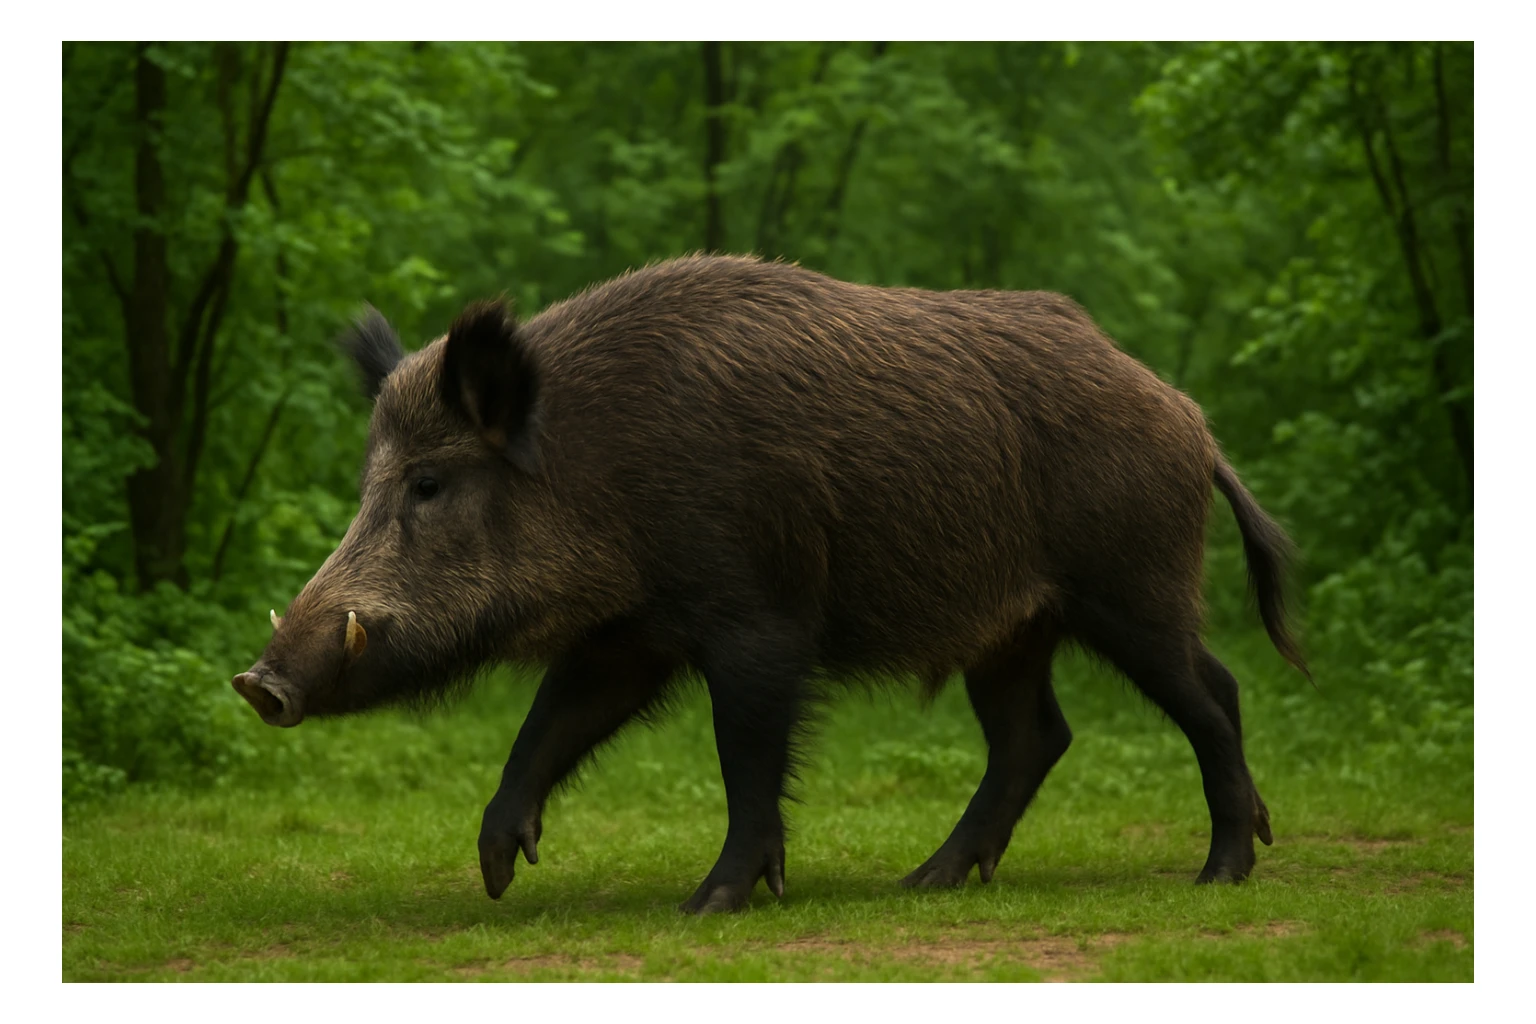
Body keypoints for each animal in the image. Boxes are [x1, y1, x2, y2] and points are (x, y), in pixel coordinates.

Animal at [232, 253, 1309, 914]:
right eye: (370, 482)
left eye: (428, 483)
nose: (259, 682)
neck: (602, 464)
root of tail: (1190, 418)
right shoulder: (632, 631)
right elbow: (552, 720)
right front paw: (499, 869)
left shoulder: (758, 617)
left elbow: (743, 753)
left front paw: (708, 901)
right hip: (1011, 628)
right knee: (1035, 733)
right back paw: (925, 882)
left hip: (1130, 585)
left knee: (1212, 693)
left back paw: (1220, 875)